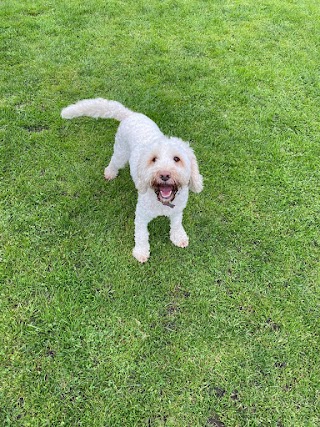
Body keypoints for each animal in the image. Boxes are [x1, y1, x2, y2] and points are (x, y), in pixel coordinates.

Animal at [61, 98, 204, 262]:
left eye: (176, 159)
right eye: (153, 159)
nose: (164, 175)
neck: (162, 202)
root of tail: (130, 114)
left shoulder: (177, 210)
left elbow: (176, 224)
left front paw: (179, 237)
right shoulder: (141, 215)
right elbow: (141, 235)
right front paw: (141, 252)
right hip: (120, 153)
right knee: (113, 162)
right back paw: (110, 173)